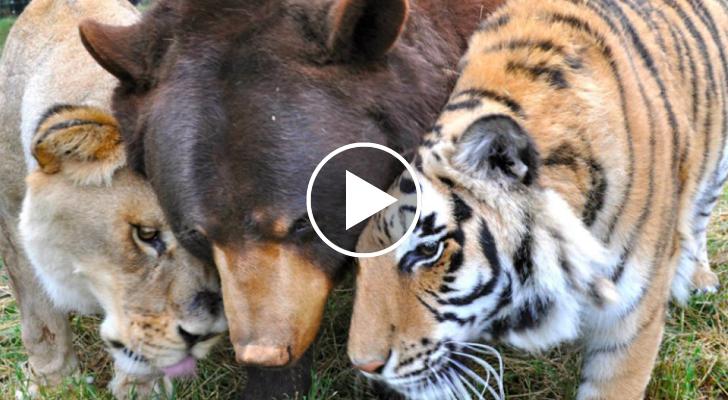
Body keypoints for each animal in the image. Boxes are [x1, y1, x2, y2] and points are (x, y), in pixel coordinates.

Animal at [0, 1, 226, 398]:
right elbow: (40, 320)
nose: (205, 335)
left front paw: (139, 389)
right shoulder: (11, 219)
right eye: (146, 234)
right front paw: (53, 383)